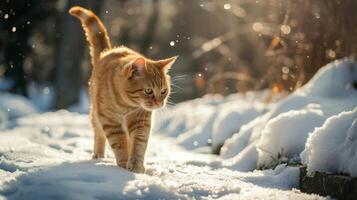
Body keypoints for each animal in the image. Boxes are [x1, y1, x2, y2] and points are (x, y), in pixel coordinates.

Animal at [69, 5, 176, 173]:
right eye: (148, 91)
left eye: (164, 91)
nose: (159, 103)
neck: (126, 105)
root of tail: (106, 52)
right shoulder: (110, 121)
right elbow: (119, 144)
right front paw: (124, 165)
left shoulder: (140, 122)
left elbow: (138, 145)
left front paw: (136, 166)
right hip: (96, 115)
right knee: (99, 134)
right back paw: (98, 156)